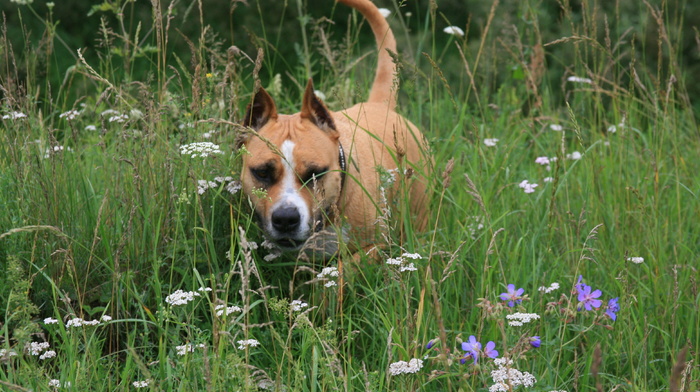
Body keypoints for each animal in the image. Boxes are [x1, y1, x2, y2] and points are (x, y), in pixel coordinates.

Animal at [238, 0, 430, 258]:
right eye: (262, 173)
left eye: (316, 173)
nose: (286, 218)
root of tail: (380, 105)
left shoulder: (375, 246)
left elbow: (348, 266)